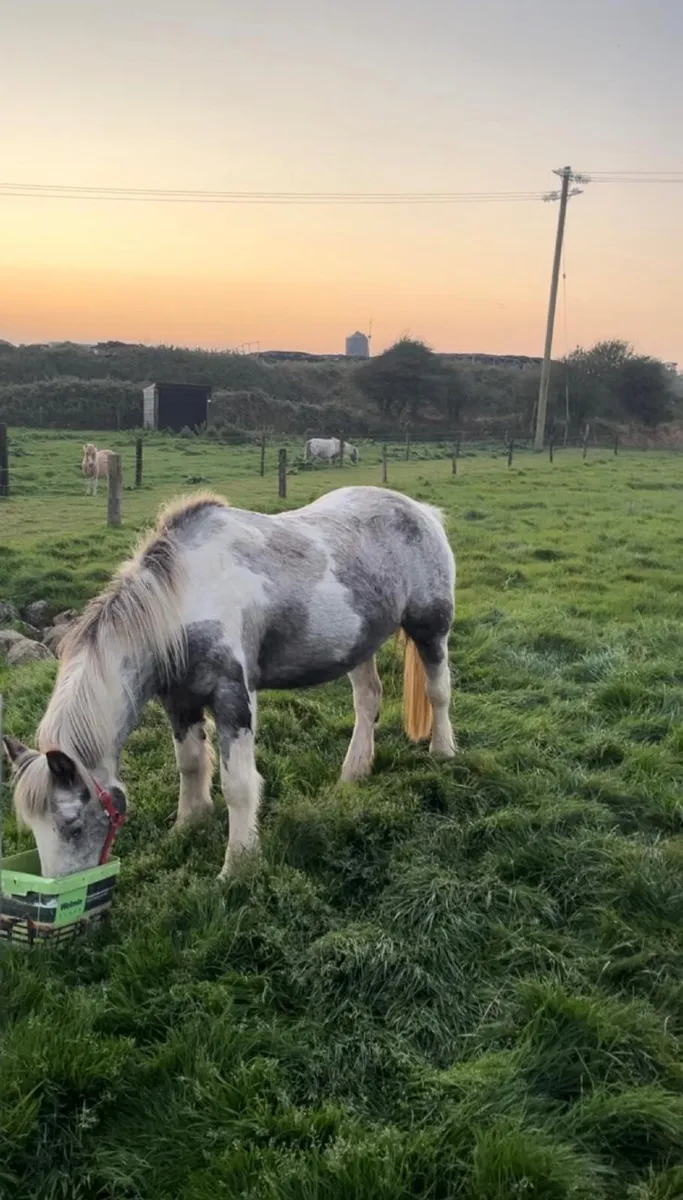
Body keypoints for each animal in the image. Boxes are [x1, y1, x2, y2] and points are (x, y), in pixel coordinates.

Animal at [3, 486, 456, 880]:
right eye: (33, 827)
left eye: (72, 824)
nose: (60, 899)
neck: (182, 601)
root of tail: (422, 511)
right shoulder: (179, 700)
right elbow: (189, 764)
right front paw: (187, 824)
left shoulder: (233, 697)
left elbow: (237, 784)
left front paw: (238, 863)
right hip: (359, 646)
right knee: (367, 700)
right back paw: (355, 771)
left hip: (431, 630)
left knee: (438, 692)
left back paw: (443, 751)